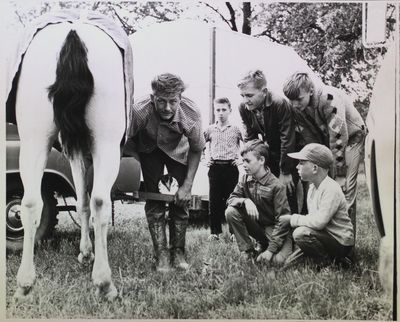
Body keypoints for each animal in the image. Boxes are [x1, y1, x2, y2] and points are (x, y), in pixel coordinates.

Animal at [14, 20, 124, 302]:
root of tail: (73, 31)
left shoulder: (73, 151)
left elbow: (82, 200)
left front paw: (86, 251)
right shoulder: (80, 151)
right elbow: (85, 200)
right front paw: (86, 252)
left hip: (34, 138)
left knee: (30, 202)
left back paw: (25, 283)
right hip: (107, 141)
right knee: (100, 200)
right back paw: (105, 282)